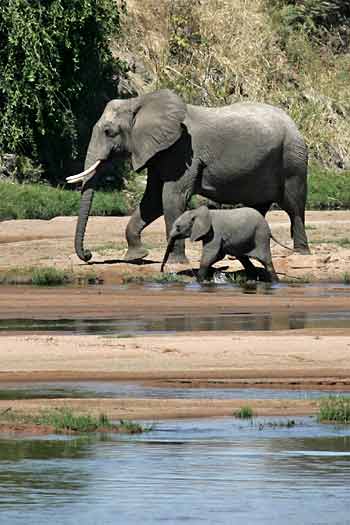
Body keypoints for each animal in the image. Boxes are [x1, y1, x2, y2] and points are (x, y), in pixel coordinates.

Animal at [67, 90, 310, 264]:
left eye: (109, 132)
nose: (88, 255)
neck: (140, 101)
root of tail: (294, 122)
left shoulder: (182, 151)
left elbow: (171, 198)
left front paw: (175, 263)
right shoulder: (160, 152)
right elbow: (152, 201)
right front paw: (137, 256)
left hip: (292, 159)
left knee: (294, 206)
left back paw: (300, 254)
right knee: (256, 208)